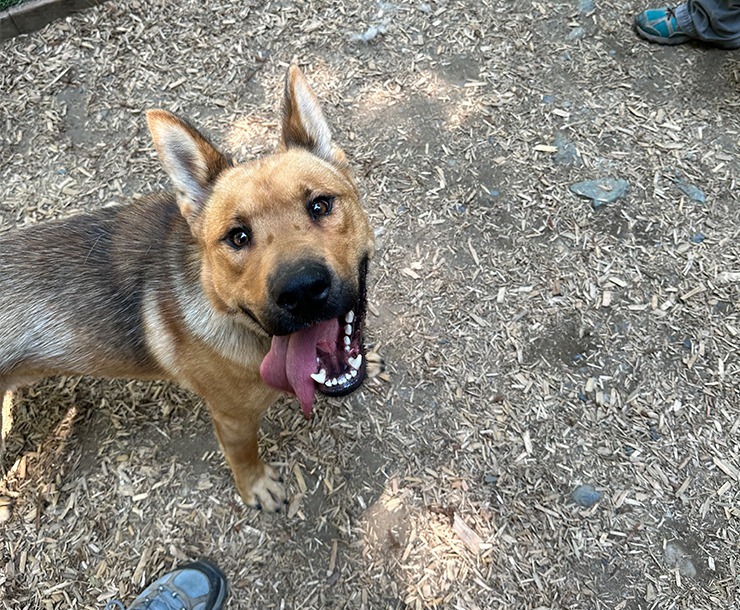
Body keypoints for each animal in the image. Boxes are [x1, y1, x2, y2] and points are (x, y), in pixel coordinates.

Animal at [1, 66, 376, 508]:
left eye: (320, 204)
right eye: (237, 237)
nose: (300, 290)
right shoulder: (232, 418)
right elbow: (244, 454)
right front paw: (256, 487)